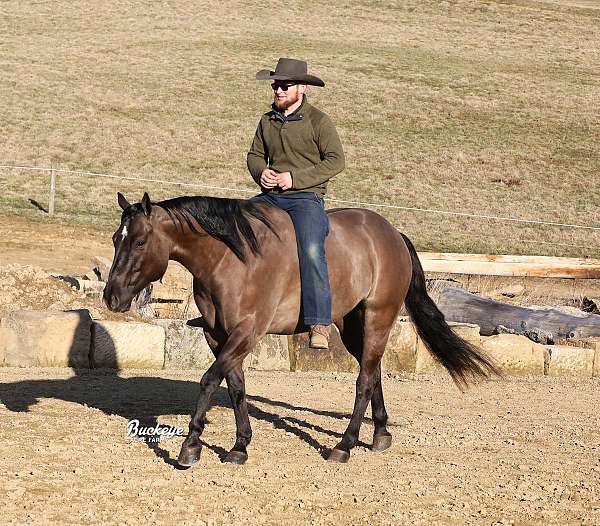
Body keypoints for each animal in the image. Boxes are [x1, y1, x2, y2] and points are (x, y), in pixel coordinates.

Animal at [103, 194, 496, 470]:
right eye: (114, 239)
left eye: (139, 242)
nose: (111, 297)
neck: (231, 259)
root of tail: (392, 234)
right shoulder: (219, 337)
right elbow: (235, 386)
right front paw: (240, 446)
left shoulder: (247, 332)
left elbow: (209, 380)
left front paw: (191, 446)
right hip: (352, 325)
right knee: (373, 372)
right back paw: (380, 434)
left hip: (378, 318)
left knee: (364, 380)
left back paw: (344, 445)